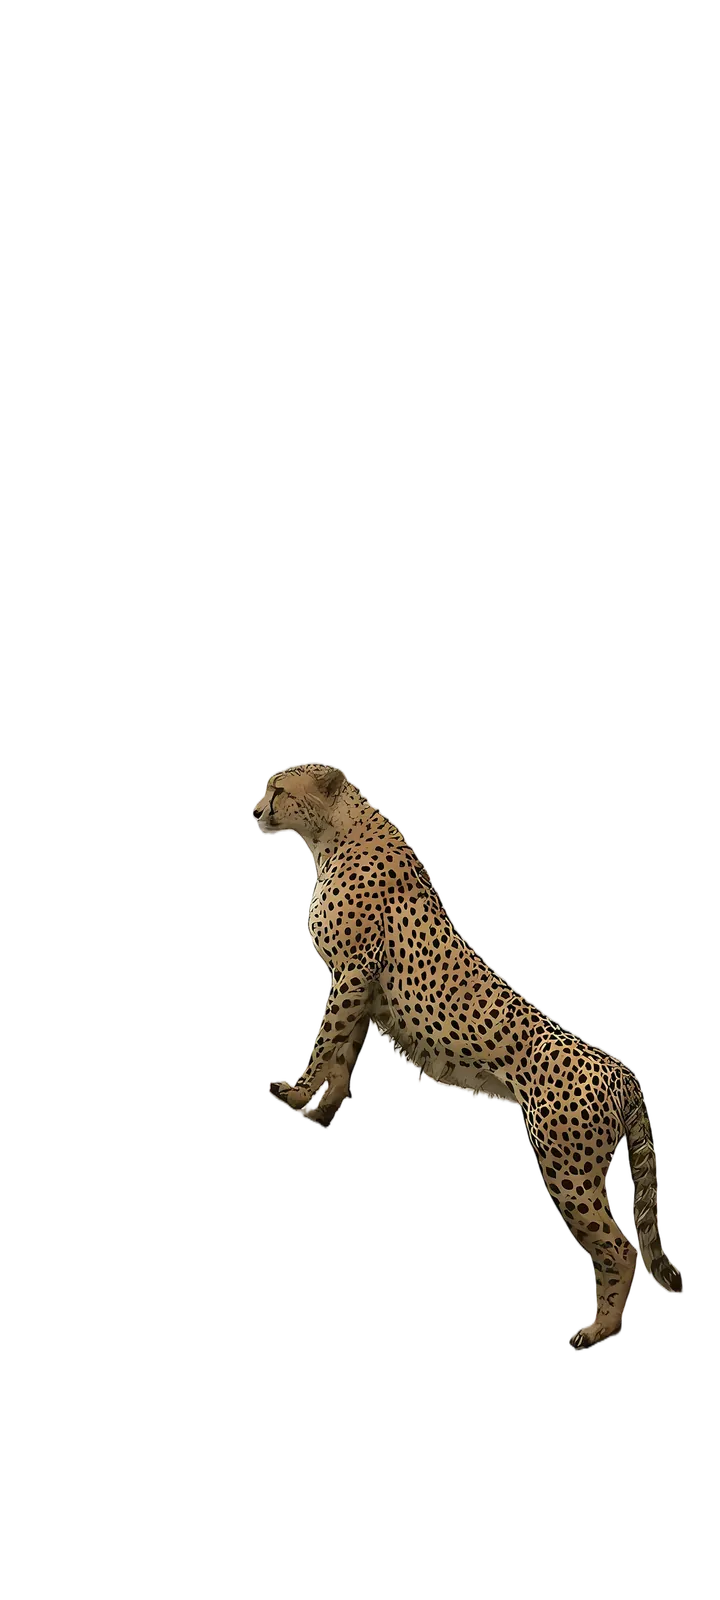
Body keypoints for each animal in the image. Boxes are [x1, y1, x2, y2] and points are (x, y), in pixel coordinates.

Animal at [252, 760, 684, 1351]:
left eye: (279, 789)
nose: (255, 810)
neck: (332, 833)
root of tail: (622, 1071)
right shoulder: (364, 986)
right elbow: (341, 1059)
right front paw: (317, 1111)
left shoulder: (354, 970)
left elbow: (324, 1043)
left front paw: (294, 1091)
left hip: (566, 1163)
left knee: (620, 1247)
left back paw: (598, 1330)